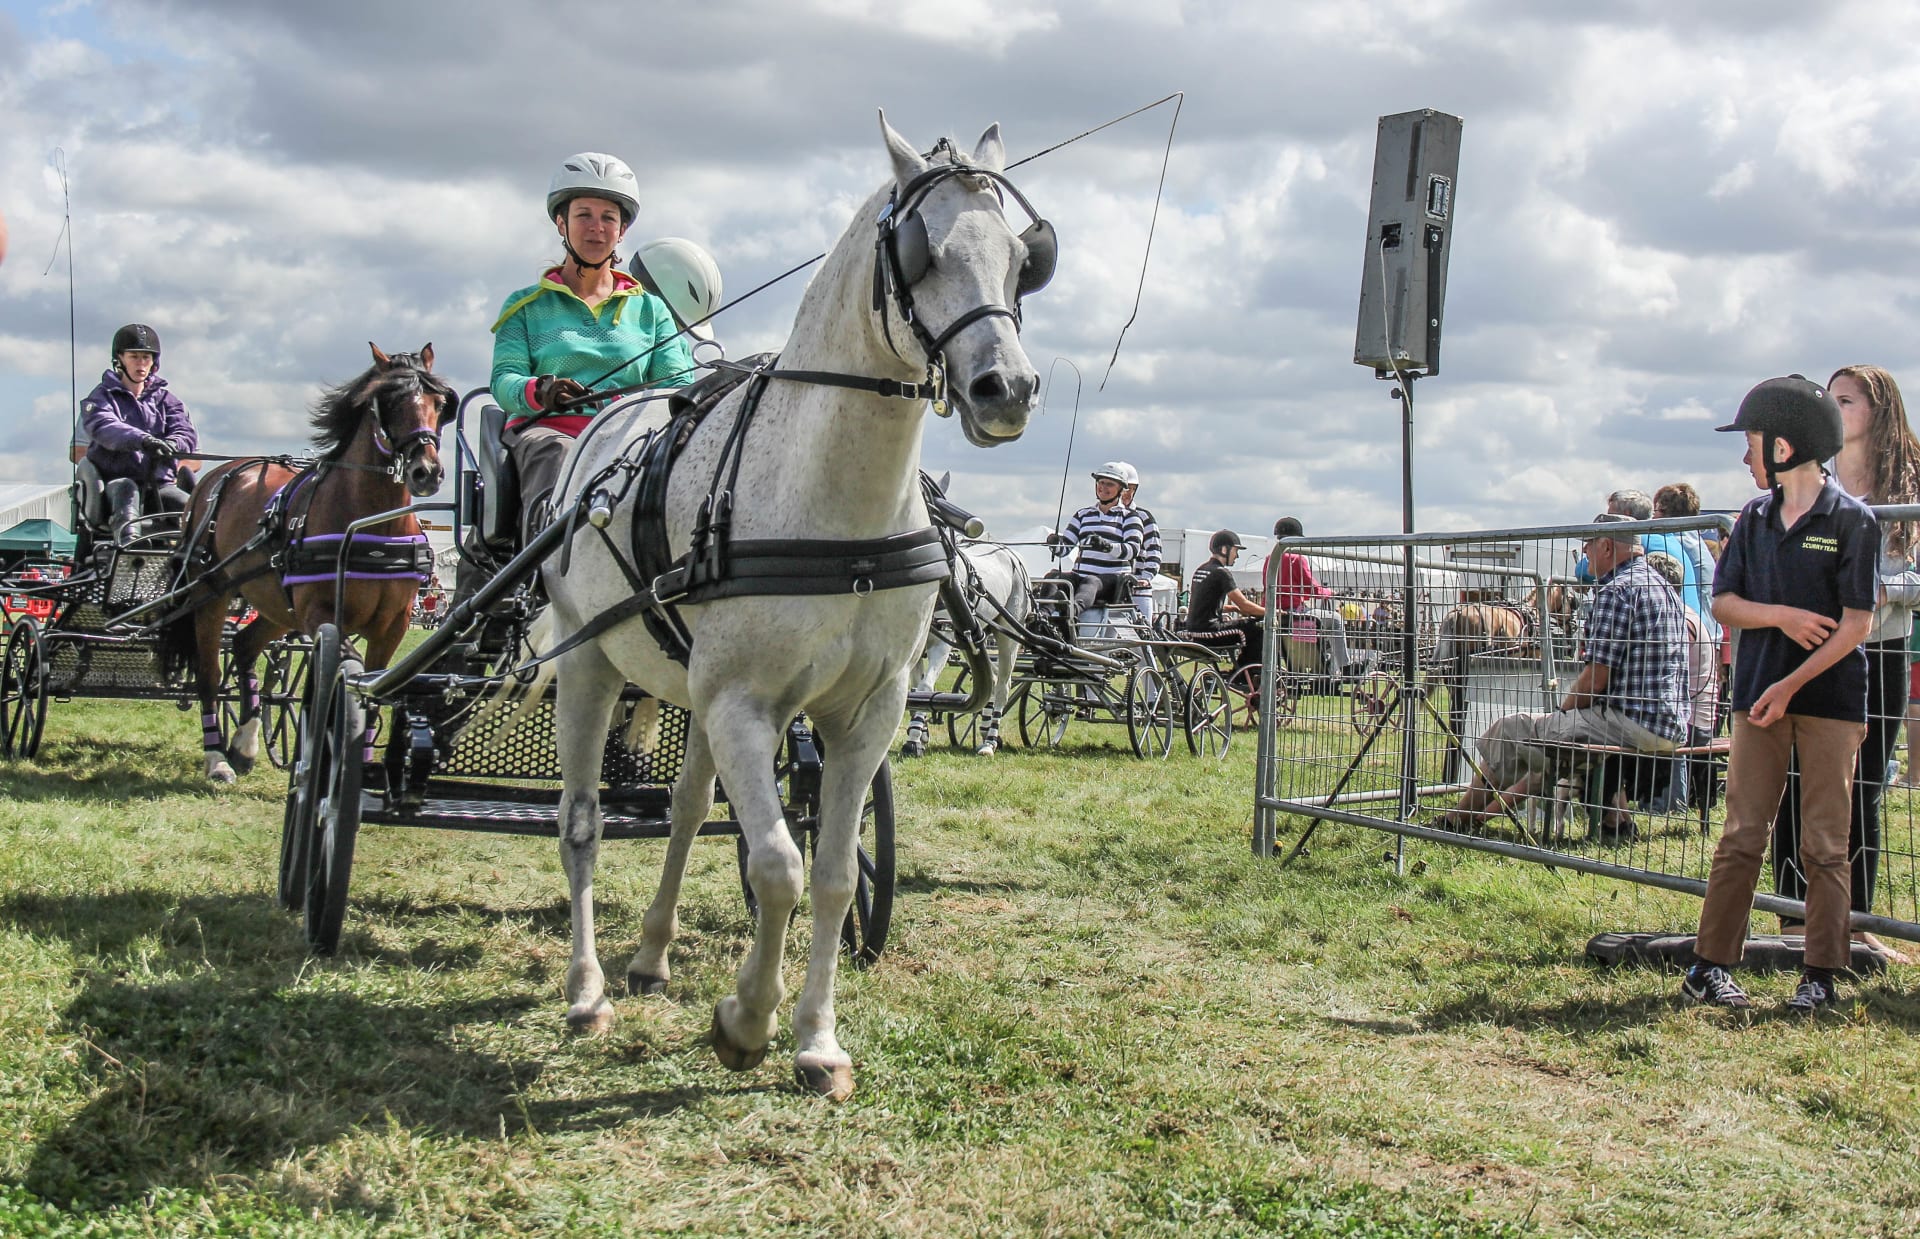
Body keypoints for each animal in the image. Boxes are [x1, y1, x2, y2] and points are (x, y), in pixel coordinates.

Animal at [162, 343, 449, 779]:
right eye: (390, 401)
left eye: (439, 403)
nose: (426, 472)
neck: (372, 525)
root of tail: (219, 474)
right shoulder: (321, 615)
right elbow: (347, 673)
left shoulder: (393, 625)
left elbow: (373, 689)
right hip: (212, 594)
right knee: (210, 672)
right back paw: (217, 758)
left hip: (276, 606)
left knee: (244, 646)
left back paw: (244, 743)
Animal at [902, 537, 1036, 753]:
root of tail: (1011, 553)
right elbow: (914, 690)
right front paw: (922, 734)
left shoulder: (941, 643)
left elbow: (925, 686)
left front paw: (913, 740)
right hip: (973, 639)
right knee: (992, 678)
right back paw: (985, 729)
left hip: (1010, 632)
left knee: (1003, 686)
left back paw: (990, 741)